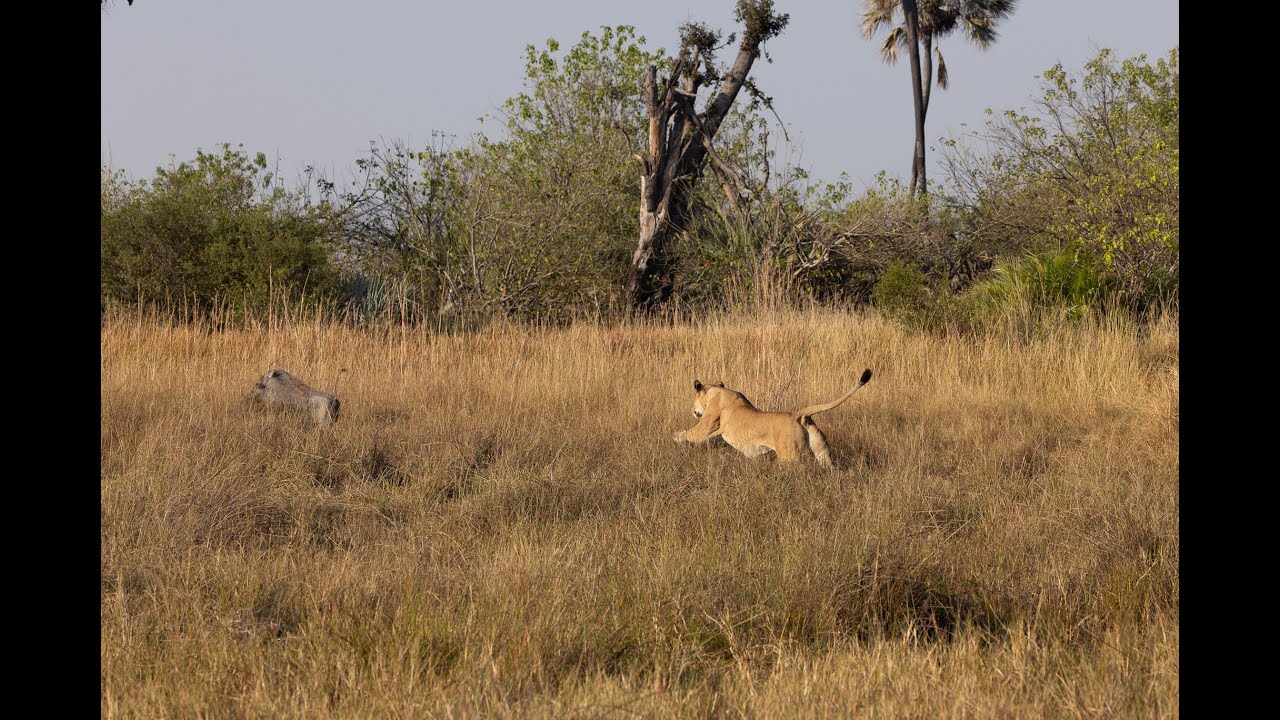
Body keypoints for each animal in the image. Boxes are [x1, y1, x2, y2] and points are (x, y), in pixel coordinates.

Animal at [672, 368, 872, 467]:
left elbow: (691, 434)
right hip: (823, 453)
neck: (718, 391)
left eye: (694, 398)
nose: (693, 411)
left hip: (789, 457)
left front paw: (675, 437)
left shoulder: (707, 425)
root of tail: (798, 414)